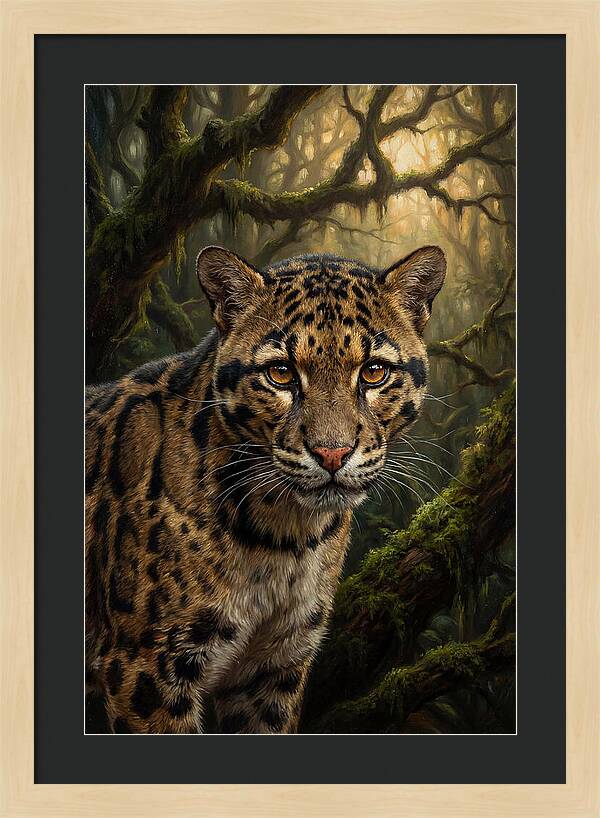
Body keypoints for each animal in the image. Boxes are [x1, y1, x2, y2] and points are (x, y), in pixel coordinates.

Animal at [85, 243, 446, 733]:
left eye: (373, 372)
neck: (284, 535)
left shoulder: (275, 665)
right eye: (281, 373)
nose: (332, 453)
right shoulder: (146, 666)